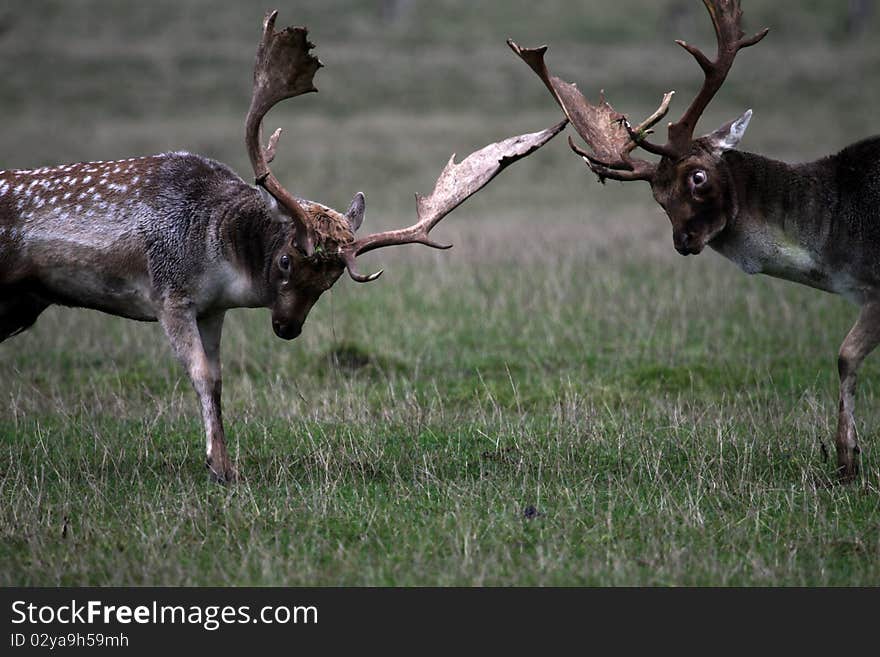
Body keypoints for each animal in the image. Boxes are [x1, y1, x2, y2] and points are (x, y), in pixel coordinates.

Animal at [0, 11, 564, 482]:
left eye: (331, 281)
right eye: (288, 259)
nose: (288, 327)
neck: (215, 248)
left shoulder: (211, 309)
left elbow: (218, 379)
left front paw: (224, 463)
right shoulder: (169, 293)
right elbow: (199, 373)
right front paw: (219, 467)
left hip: (23, 302)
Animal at [508, 1, 880, 482]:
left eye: (698, 177)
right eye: (657, 197)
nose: (682, 241)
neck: (840, 236)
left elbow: (845, 355)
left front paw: (848, 459)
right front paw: (847, 459)